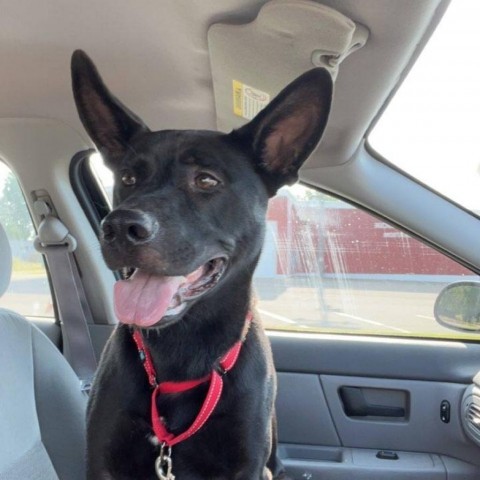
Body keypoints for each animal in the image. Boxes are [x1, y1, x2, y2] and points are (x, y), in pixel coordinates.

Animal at [71, 50, 332, 478]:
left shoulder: (248, 465)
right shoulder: (101, 461)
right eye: (128, 178)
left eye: (206, 181)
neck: (183, 349)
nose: (119, 227)